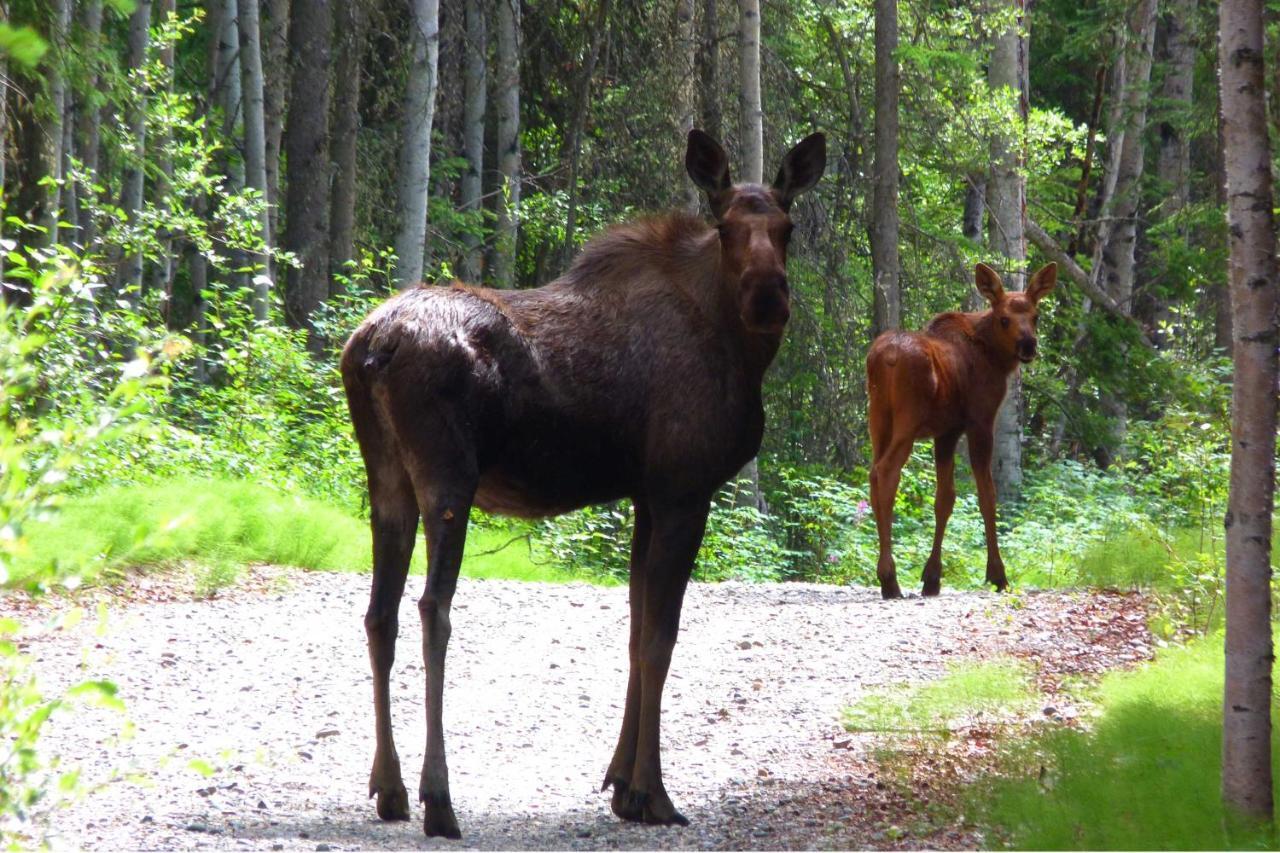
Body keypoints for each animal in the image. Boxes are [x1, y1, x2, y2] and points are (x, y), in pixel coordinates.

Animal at [335, 129, 824, 835]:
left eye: (787, 227)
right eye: (726, 226)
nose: (768, 297)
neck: (738, 347)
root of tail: (373, 347)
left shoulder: (647, 493)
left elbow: (635, 627)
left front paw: (622, 785)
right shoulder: (684, 488)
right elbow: (660, 638)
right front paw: (654, 793)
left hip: (386, 479)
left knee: (380, 614)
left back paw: (389, 787)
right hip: (448, 477)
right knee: (433, 610)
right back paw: (439, 798)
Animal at [860, 258, 1059, 596]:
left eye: (1036, 316)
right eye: (1004, 319)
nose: (1028, 345)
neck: (994, 357)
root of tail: (885, 358)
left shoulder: (946, 432)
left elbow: (945, 499)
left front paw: (932, 577)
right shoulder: (980, 421)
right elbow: (987, 495)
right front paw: (997, 574)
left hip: (878, 419)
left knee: (874, 474)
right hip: (907, 420)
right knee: (886, 473)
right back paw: (889, 578)